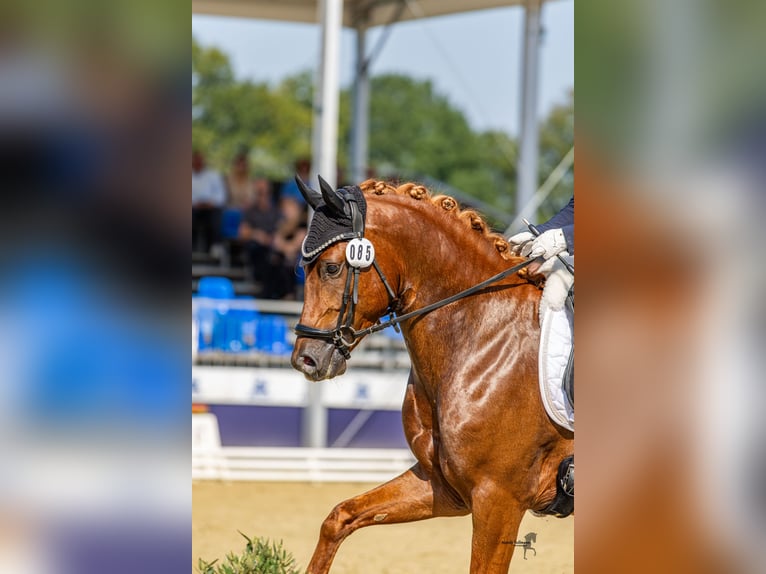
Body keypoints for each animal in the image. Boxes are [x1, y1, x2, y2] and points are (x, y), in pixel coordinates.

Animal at [292, 178, 572, 572]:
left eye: (331, 268)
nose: (306, 359)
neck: (480, 334)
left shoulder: (498, 498)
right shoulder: (442, 486)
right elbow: (340, 516)